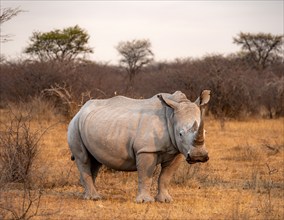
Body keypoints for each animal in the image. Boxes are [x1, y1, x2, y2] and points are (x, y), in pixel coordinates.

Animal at [67, 90, 211, 203]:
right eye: (180, 133)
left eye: (205, 132)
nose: (198, 156)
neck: (171, 115)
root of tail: (80, 110)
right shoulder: (146, 150)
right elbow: (145, 175)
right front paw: (145, 201)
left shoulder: (177, 151)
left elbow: (166, 176)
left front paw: (165, 200)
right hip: (74, 125)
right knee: (83, 158)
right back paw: (94, 197)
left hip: (91, 124)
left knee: (95, 160)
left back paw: (88, 196)